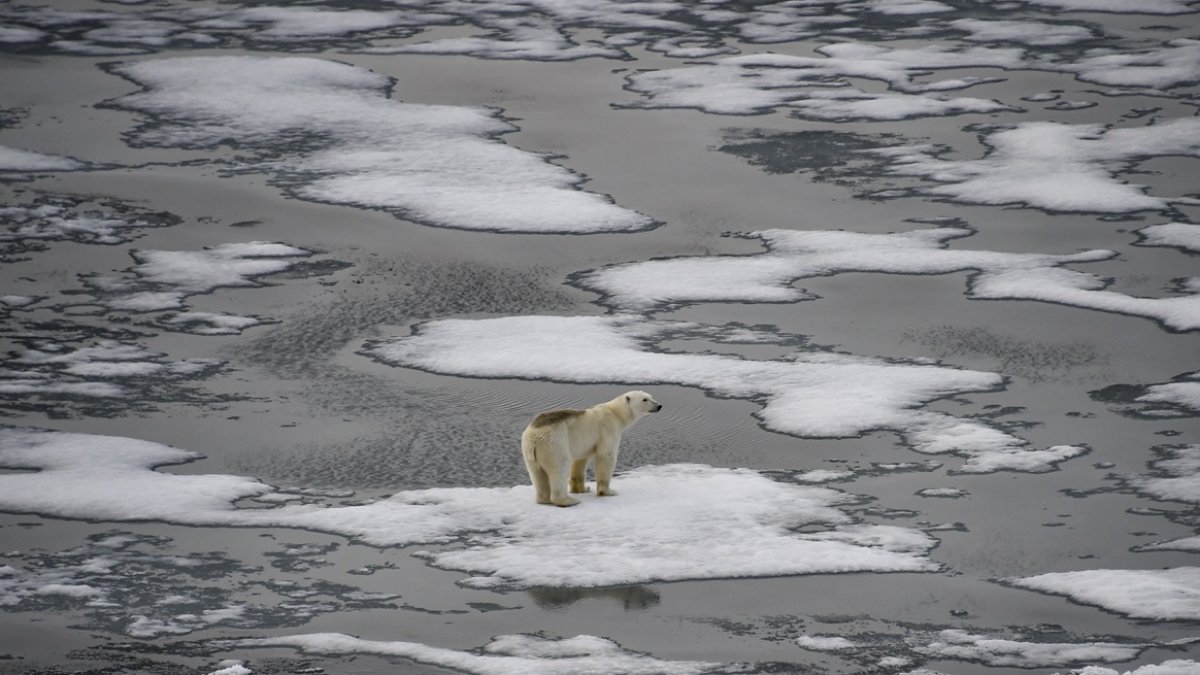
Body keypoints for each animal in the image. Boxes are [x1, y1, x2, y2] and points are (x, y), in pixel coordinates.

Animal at [521, 390, 662, 507]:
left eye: (651, 397)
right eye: (645, 399)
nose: (659, 405)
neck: (615, 413)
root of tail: (533, 435)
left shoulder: (584, 443)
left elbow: (580, 461)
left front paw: (583, 489)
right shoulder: (607, 430)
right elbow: (606, 456)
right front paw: (608, 491)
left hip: (530, 452)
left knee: (537, 473)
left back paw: (543, 499)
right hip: (555, 443)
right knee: (559, 468)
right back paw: (569, 500)